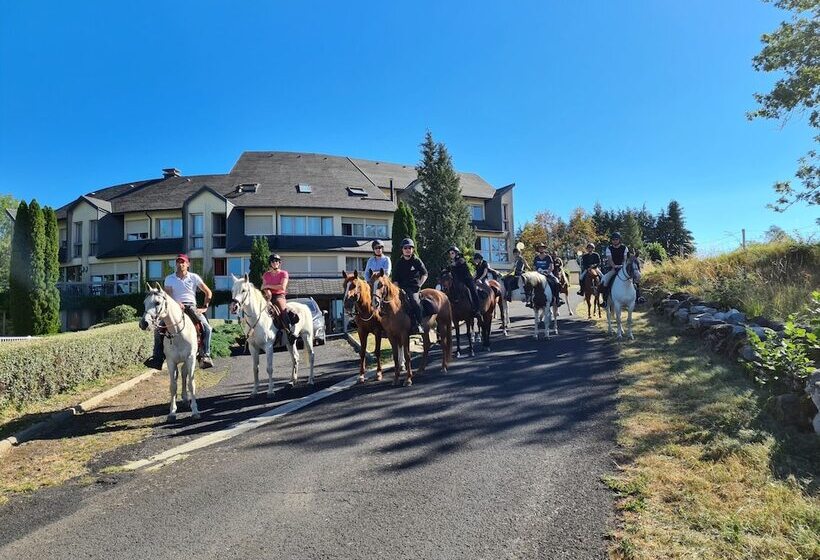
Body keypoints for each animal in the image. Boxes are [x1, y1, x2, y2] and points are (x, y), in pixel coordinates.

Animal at [139, 284, 200, 420]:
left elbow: (191, 384)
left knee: (184, 374)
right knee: (181, 374)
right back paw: (184, 399)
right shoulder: (171, 361)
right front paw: (172, 412)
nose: (143, 323)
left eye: (157, 302)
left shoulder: (191, 358)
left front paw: (195, 411)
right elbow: (173, 386)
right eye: (144, 302)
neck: (178, 333)